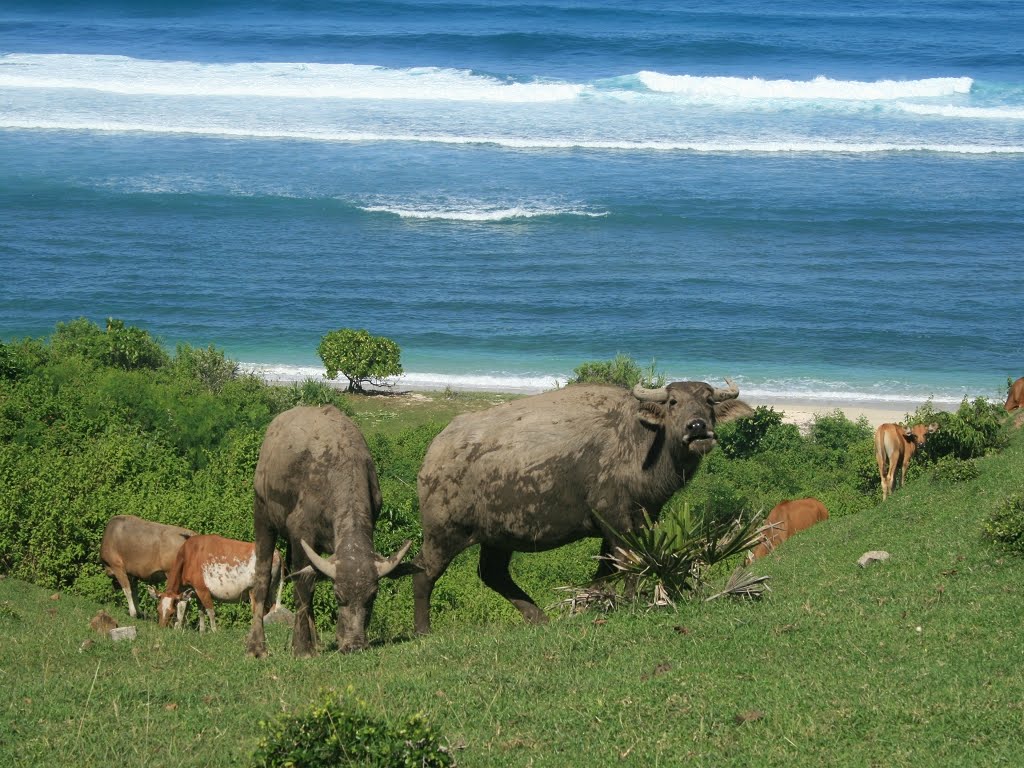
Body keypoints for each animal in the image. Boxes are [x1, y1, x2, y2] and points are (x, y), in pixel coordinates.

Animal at [151, 532, 282, 634]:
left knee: (259, 612)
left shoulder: (202, 589)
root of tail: (277, 552)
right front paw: (200, 632)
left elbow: (210, 612)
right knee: (272, 608)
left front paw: (214, 631)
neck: (188, 556)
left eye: (171, 613)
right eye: (158, 610)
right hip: (271, 589)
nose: (161, 629)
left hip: (254, 591)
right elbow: (196, 611)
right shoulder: (193, 591)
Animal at [245, 405, 417, 659]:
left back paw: (316, 642)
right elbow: (302, 587)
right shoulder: (301, 533)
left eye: (372, 597)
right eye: (338, 596)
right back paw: (257, 647)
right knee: (263, 577)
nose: (354, 644)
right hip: (263, 515)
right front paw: (301, 647)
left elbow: (310, 582)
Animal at [411, 378, 741, 638]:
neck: (639, 442)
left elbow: (608, 568)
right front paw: (629, 601)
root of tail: (433, 454)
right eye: (673, 402)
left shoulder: (643, 517)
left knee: (492, 574)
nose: (697, 427)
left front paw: (591, 602)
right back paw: (423, 630)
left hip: (497, 538)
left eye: (708, 400)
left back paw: (539, 617)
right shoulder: (614, 518)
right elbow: (629, 561)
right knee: (424, 571)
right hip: (444, 533)